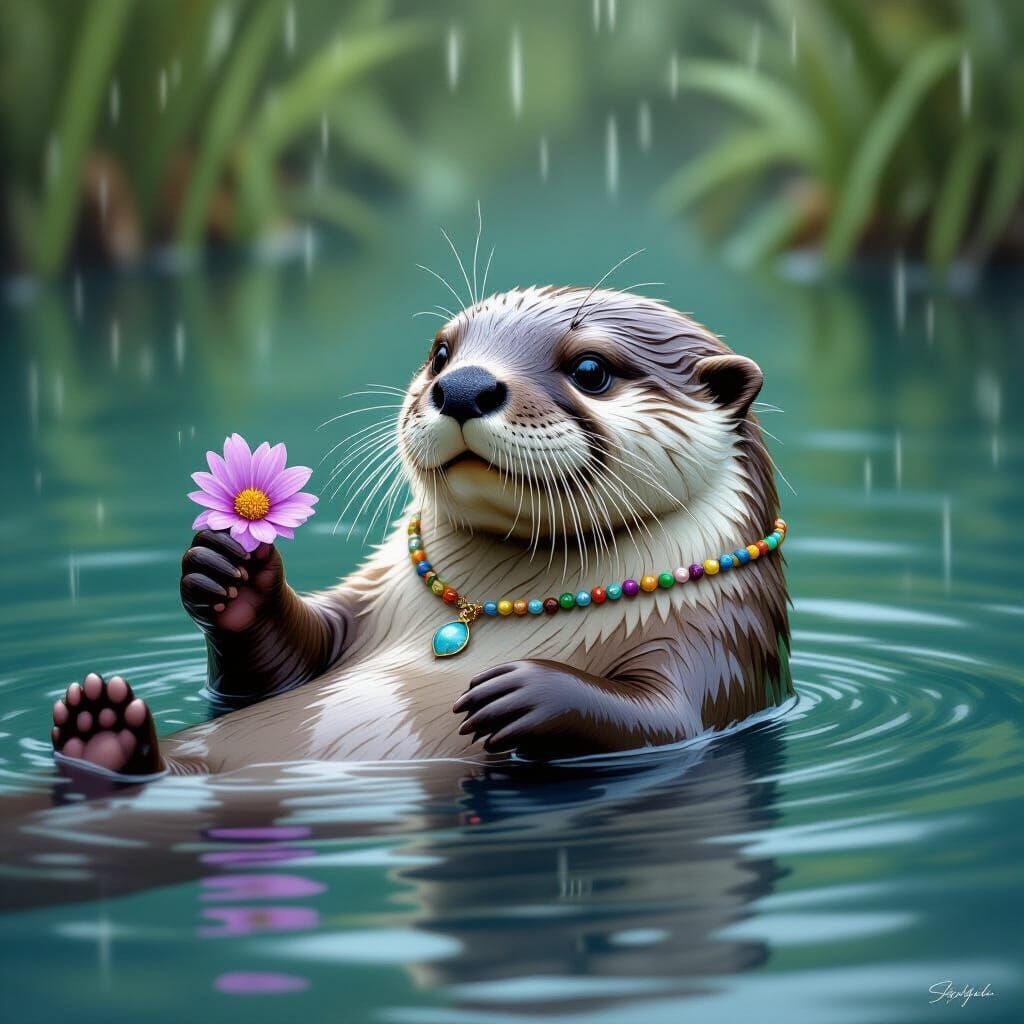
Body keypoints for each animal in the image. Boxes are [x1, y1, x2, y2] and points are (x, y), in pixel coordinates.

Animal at [47, 286, 791, 777]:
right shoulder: (369, 602)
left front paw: (529, 689)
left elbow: (667, 715)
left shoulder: (717, 642)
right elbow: (282, 666)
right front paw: (232, 575)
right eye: (440, 353)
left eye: (591, 369)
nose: (462, 386)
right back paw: (99, 729)